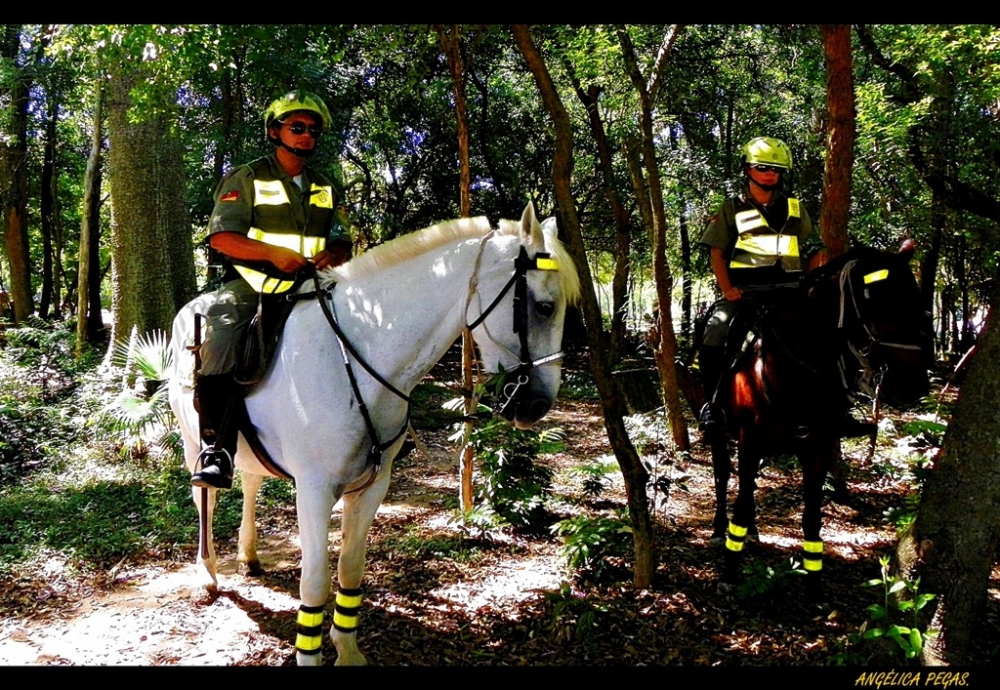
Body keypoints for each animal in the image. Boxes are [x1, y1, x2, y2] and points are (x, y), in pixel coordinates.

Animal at [169, 202, 584, 664]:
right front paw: (310, 654)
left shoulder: (372, 485)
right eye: (544, 307)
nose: (538, 404)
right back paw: (207, 572)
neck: (356, 357)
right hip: (193, 443)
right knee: (204, 497)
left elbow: (350, 569)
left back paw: (249, 553)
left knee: (251, 484)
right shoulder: (314, 490)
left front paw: (347, 651)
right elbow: (315, 582)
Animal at [712, 242, 928, 596]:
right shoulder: (749, 439)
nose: (913, 384)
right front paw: (730, 571)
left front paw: (814, 581)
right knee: (722, 475)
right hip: (720, 429)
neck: (795, 364)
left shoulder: (818, 445)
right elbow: (739, 505)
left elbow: (812, 515)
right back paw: (719, 528)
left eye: (915, 299)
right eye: (876, 300)